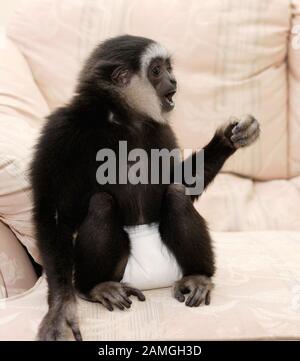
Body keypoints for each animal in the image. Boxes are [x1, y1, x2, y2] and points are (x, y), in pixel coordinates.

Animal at [31, 34, 260, 340]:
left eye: (168, 68)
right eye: (156, 70)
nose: (173, 80)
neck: (122, 118)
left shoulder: (162, 131)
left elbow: (183, 183)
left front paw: (228, 138)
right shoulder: (60, 130)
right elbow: (53, 213)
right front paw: (60, 306)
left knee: (176, 195)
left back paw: (198, 276)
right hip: (117, 271)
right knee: (101, 203)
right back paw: (96, 287)